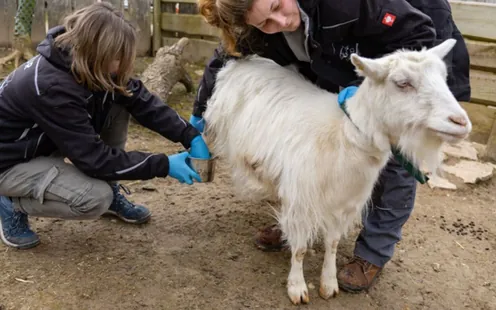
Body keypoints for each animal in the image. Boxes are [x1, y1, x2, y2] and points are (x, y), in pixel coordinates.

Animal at [202, 38, 472, 306]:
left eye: (444, 77)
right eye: (402, 83)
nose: (460, 122)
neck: (343, 136)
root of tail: (245, 59)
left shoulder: (345, 202)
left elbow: (332, 243)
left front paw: (329, 283)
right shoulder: (303, 199)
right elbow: (300, 249)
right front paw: (297, 287)